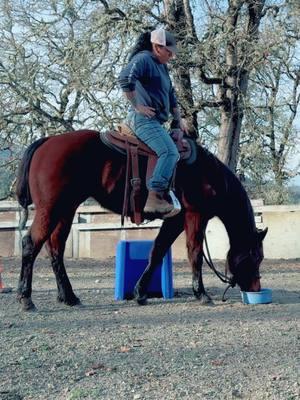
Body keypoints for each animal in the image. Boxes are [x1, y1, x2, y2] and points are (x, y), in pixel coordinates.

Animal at [15, 130, 268, 310]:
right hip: (50, 210)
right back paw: (26, 298)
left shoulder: (176, 220)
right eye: (256, 257)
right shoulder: (195, 215)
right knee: (31, 244)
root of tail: (47, 142)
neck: (209, 174)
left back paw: (68, 296)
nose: (256, 287)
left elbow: (157, 251)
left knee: (55, 248)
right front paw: (202, 294)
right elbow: (194, 253)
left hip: (65, 210)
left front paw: (140, 293)